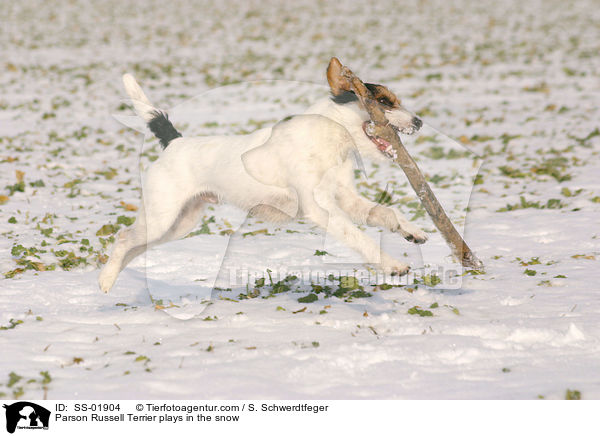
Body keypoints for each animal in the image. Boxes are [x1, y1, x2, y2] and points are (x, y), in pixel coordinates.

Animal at [98, 66, 426, 294]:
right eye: (383, 101)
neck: (332, 137)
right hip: (162, 216)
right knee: (124, 237)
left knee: (135, 246)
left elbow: (386, 212)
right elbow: (359, 237)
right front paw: (392, 265)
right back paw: (105, 280)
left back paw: (112, 277)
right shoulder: (321, 209)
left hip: (179, 224)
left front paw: (411, 231)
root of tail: (174, 143)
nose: (420, 122)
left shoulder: (346, 198)